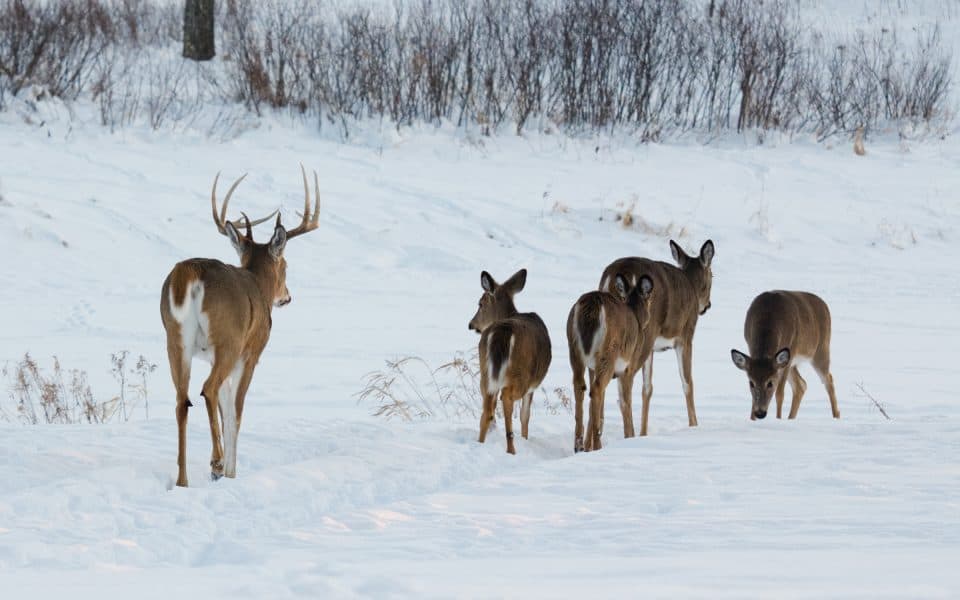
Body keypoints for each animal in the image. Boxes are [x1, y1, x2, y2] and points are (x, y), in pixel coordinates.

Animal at [159, 164, 320, 488]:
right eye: (286, 266)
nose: (287, 297)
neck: (258, 285)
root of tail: (189, 272)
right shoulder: (252, 352)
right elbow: (236, 411)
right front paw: (231, 472)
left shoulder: (210, 355)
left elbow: (226, 408)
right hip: (228, 340)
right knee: (207, 389)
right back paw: (217, 463)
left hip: (175, 339)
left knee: (182, 401)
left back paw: (183, 481)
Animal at [468, 270, 552, 452]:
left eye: (480, 304)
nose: (471, 324)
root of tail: (503, 330)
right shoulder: (532, 384)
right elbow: (525, 415)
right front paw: (525, 438)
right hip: (520, 373)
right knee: (506, 398)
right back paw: (511, 449)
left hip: (485, 371)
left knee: (487, 408)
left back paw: (481, 443)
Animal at [568, 272, 656, 450]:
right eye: (650, 300)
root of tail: (592, 303)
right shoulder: (629, 367)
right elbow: (625, 402)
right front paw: (630, 436)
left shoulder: (592, 367)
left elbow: (593, 407)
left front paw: (587, 445)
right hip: (609, 352)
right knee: (596, 389)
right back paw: (597, 445)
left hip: (574, 349)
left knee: (581, 387)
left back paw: (579, 445)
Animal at [596, 237, 716, 438]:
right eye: (713, 276)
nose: (708, 305)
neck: (691, 284)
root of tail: (612, 277)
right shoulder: (685, 335)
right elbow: (687, 382)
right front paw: (694, 425)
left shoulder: (653, 347)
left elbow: (647, 388)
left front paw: (644, 433)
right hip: (645, 332)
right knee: (624, 385)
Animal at [736, 290, 840, 422]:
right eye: (751, 383)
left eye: (770, 383)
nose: (760, 413)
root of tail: (824, 305)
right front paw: (752, 420)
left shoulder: (789, 352)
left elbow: (780, 394)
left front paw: (778, 419)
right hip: (794, 362)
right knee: (801, 385)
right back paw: (791, 418)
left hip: (820, 349)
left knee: (828, 380)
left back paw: (836, 416)